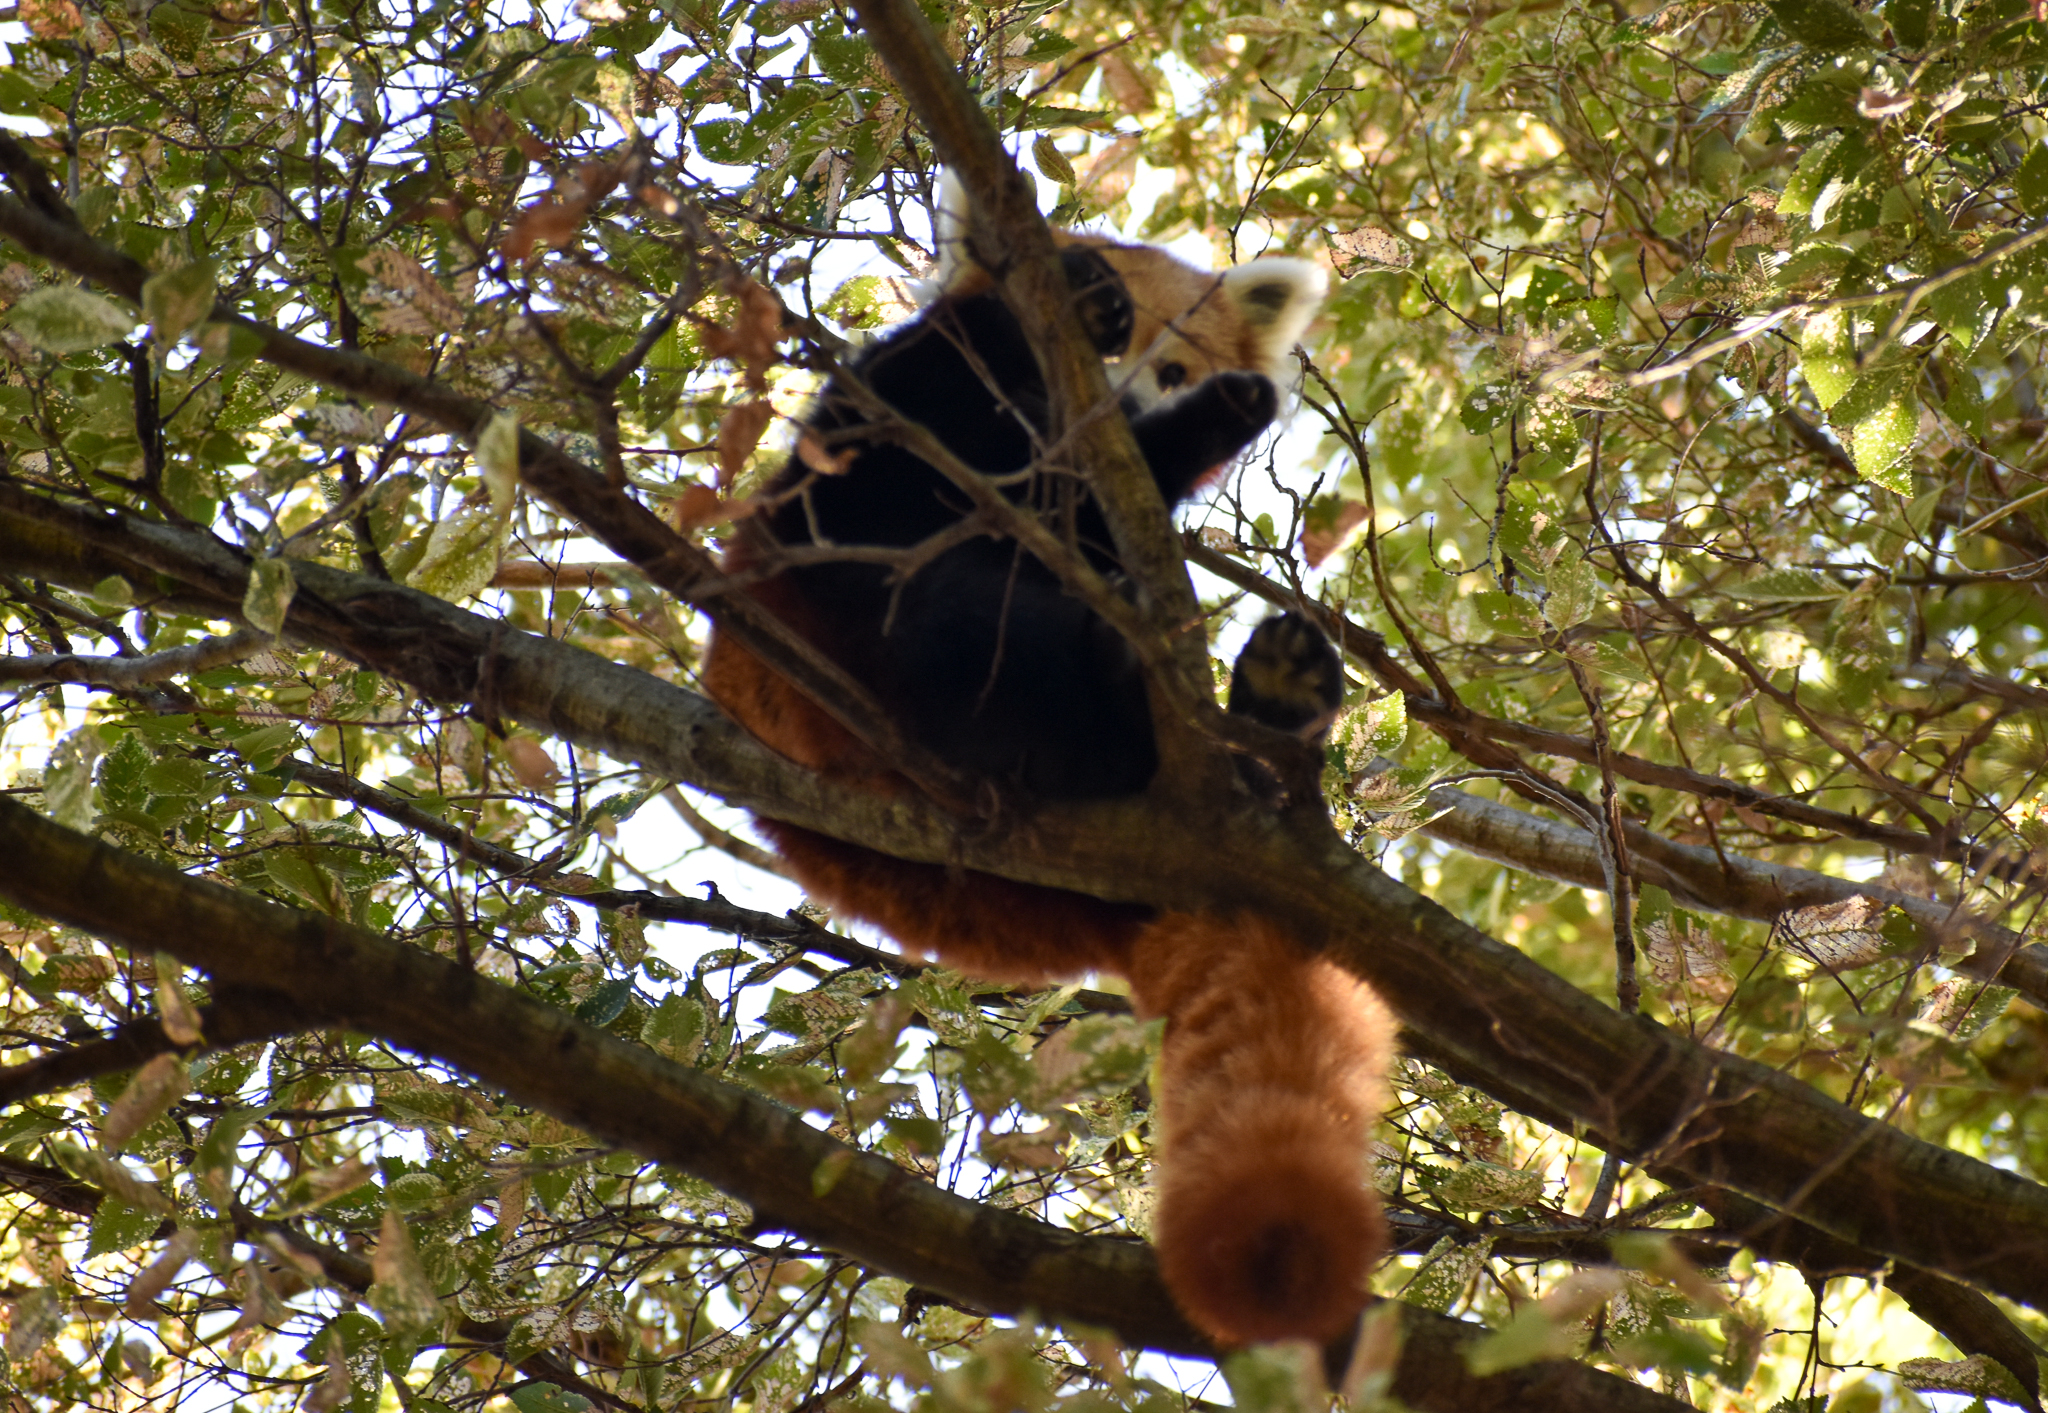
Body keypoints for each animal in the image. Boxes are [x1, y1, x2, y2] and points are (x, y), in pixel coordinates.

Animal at [703, 181, 1394, 1346]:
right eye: (1115, 352)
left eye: (1176, 364)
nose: (1134, 392)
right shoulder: (887, 428)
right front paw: (1078, 294)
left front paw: (1217, 414)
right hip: (872, 655)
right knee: (970, 623)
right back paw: (1122, 688)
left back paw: (1266, 708)